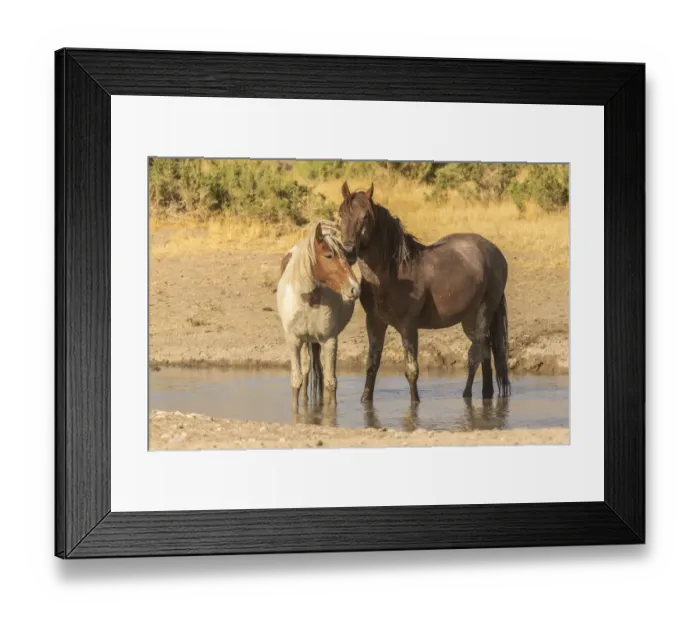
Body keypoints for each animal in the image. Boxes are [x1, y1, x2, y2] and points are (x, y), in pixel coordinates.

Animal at [276, 220, 361, 411]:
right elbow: (296, 380)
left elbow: (331, 382)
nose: (355, 289)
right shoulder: (294, 340)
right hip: (306, 340)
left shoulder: (329, 340)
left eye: (347, 258)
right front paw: (297, 411)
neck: (309, 301)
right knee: (307, 369)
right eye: (329, 255)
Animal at [336, 181, 511, 403]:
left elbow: (412, 370)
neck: (393, 273)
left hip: (484, 313)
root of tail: (494, 251)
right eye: (341, 213)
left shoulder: (408, 326)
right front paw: (365, 401)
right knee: (485, 351)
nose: (349, 251)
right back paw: (486, 394)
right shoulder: (375, 322)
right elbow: (371, 365)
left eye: (365, 216)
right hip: (469, 320)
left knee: (475, 355)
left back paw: (466, 395)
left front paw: (415, 403)